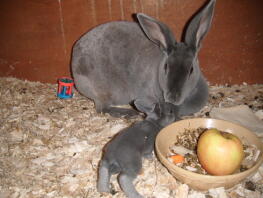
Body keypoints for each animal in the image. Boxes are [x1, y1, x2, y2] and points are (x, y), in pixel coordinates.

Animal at [71, 0, 217, 117]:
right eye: (166, 67)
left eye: (191, 70)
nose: (172, 98)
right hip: (102, 92)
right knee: (102, 108)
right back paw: (130, 113)